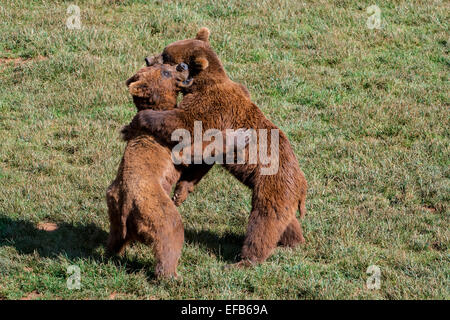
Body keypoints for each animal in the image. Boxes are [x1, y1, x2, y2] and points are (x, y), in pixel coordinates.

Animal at [128, 28, 308, 268]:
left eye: (166, 57)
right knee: (284, 220)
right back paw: (293, 241)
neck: (200, 84)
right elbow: (201, 162)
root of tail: (302, 185)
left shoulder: (212, 106)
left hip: (273, 182)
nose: (148, 58)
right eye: (165, 50)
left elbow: (183, 122)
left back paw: (246, 259)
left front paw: (143, 117)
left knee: (264, 221)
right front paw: (180, 193)